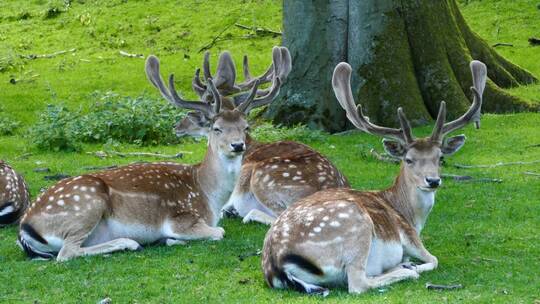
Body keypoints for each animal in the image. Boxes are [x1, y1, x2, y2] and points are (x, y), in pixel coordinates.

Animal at [16, 50, 280, 262]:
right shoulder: (181, 219)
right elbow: (219, 232)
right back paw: (129, 243)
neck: (209, 196)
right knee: (66, 253)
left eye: (246, 126)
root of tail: (24, 229)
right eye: (217, 128)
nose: (237, 145)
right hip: (86, 205)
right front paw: (170, 239)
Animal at [262, 60, 490, 296]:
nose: (433, 181)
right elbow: (434, 259)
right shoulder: (409, 236)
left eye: (440, 158)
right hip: (355, 224)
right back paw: (405, 269)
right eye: (408, 159)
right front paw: (411, 265)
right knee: (358, 284)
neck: (410, 215)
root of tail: (276, 264)